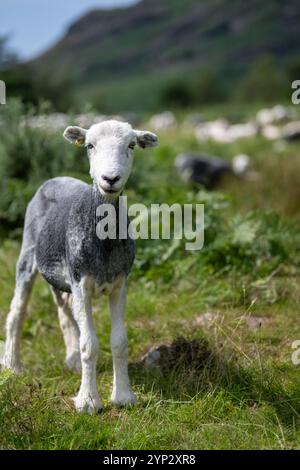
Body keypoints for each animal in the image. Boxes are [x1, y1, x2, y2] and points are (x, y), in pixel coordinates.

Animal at [1, 120, 158, 412]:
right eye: (89, 146)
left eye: (131, 146)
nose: (110, 179)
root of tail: (56, 178)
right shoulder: (81, 282)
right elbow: (90, 344)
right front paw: (88, 402)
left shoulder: (120, 284)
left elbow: (119, 342)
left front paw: (123, 397)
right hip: (28, 254)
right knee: (17, 312)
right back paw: (12, 365)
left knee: (64, 311)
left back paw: (72, 359)